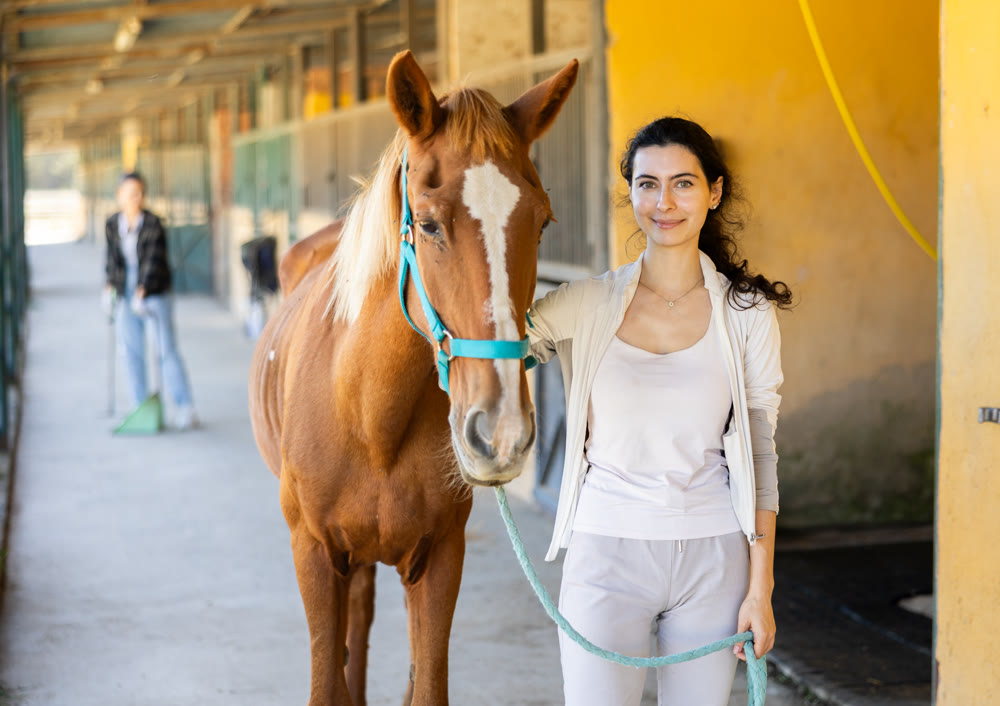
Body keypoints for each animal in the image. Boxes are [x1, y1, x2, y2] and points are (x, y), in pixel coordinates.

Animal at [249, 50, 578, 705]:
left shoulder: (439, 556)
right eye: (427, 225)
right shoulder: (313, 553)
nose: (501, 432)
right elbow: (327, 680)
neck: (369, 415)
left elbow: (426, 684)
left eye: (542, 222)